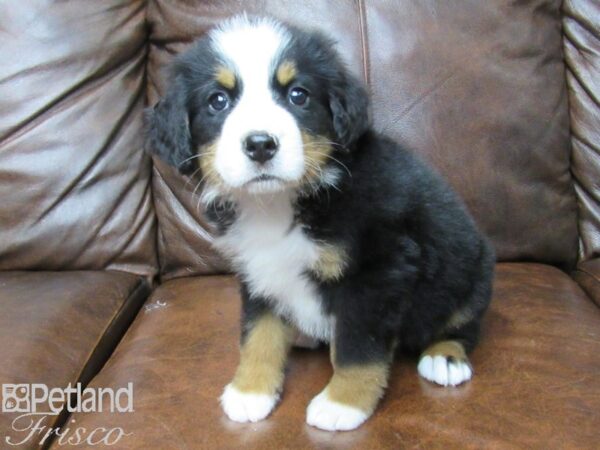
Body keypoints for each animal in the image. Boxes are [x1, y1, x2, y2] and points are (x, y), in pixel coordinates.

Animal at [144, 15, 492, 430]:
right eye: (218, 101)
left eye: (298, 95)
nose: (260, 144)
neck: (278, 204)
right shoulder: (258, 271)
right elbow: (257, 334)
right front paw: (251, 391)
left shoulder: (378, 271)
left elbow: (357, 349)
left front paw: (342, 403)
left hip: (471, 276)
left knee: (463, 324)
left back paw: (445, 358)